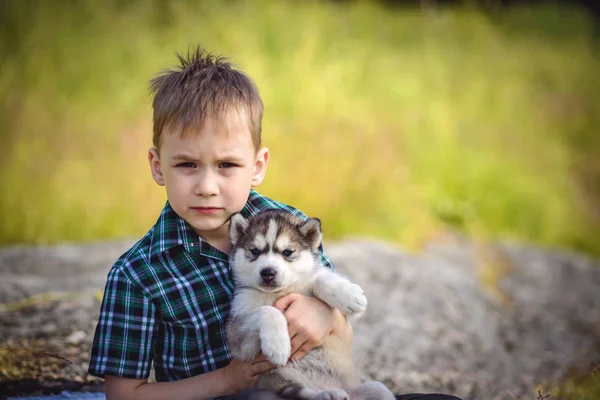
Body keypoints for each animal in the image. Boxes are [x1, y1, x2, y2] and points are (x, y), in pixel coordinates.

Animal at [225, 209, 394, 400]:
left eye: (287, 252)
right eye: (254, 251)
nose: (268, 272)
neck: (278, 292)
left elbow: (319, 278)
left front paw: (349, 295)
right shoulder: (238, 336)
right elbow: (267, 310)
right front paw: (278, 345)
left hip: (378, 388)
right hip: (279, 378)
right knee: (300, 392)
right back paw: (329, 394)